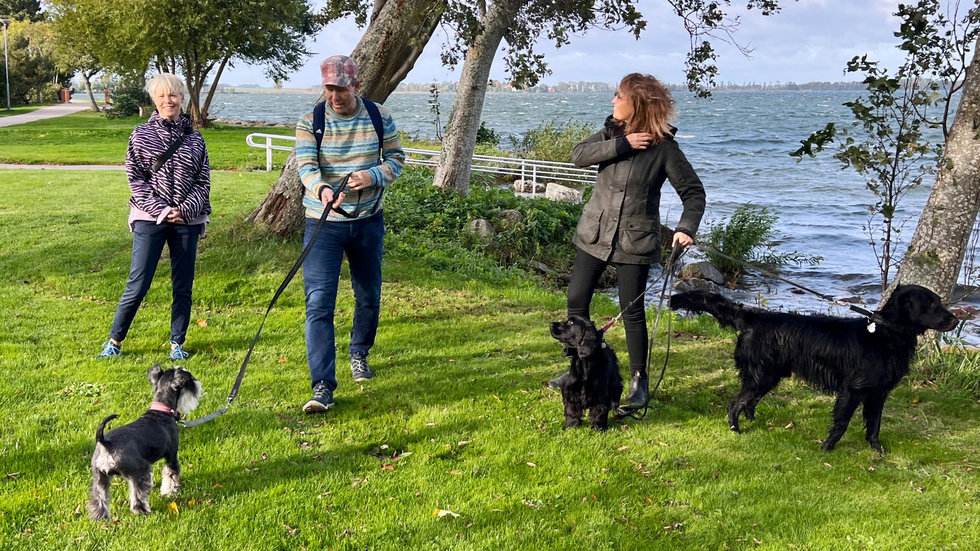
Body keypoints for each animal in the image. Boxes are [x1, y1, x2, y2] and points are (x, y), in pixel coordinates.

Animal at [89, 364, 202, 520]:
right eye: (189, 378)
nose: (197, 383)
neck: (163, 411)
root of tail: (104, 442)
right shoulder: (172, 456)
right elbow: (171, 475)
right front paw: (169, 492)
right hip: (140, 471)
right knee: (137, 496)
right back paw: (143, 511)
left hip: (99, 477)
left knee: (99, 499)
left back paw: (101, 517)